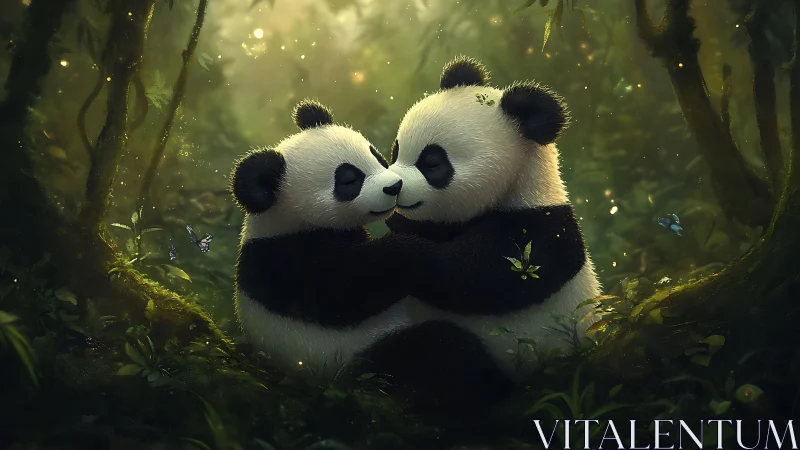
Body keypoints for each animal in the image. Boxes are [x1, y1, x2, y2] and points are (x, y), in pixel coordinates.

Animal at [231, 99, 429, 379]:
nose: (394, 187)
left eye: (376, 156)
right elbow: (349, 291)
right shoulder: (287, 261)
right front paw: (410, 250)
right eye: (349, 180)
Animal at [385, 56, 602, 382]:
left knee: (444, 353)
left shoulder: (538, 230)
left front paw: (400, 243)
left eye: (432, 164)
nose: (394, 187)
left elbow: (469, 279)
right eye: (396, 150)